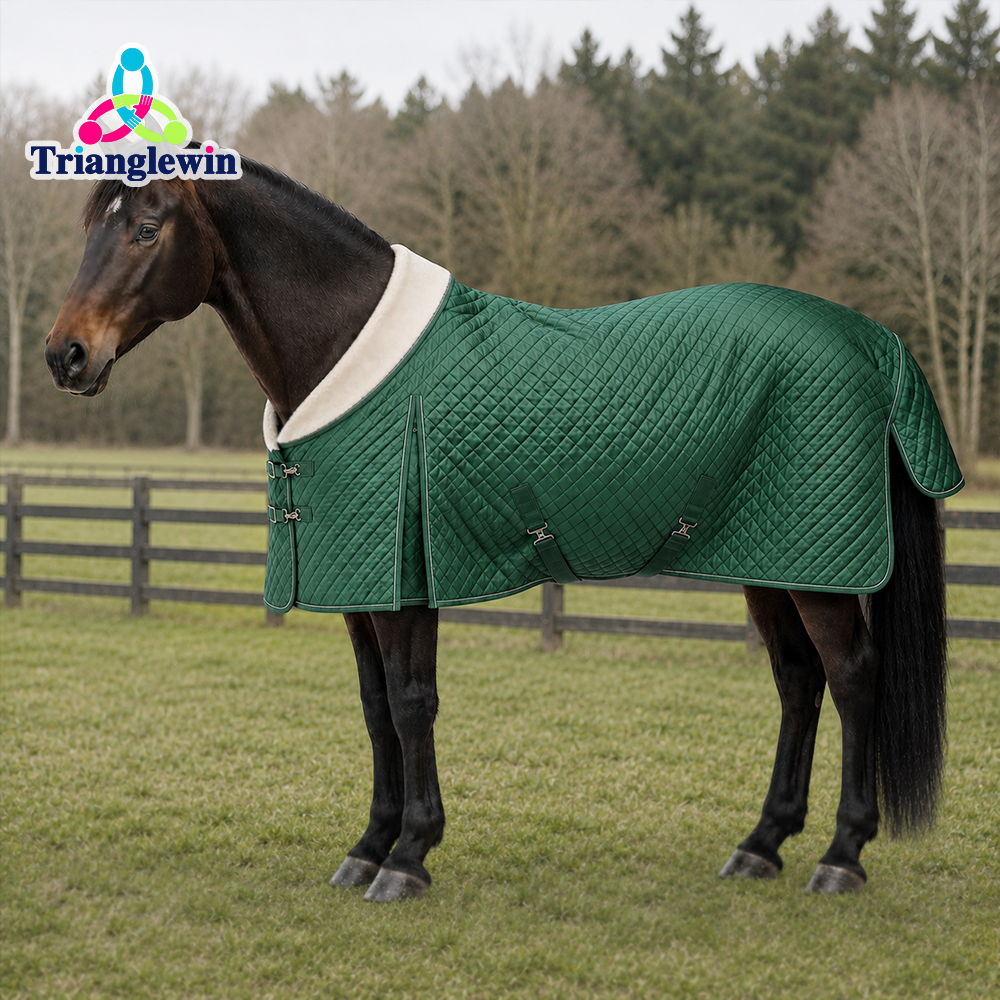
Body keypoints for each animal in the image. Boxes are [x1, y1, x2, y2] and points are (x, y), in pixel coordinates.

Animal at [44, 157, 954, 902]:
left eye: (147, 227)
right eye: (94, 227)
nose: (67, 355)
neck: (351, 351)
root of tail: (868, 340)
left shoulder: (407, 580)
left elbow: (412, 705)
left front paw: (408, 858)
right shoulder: (358, 584)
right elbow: (374, 709)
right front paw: (367, 848)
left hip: (816, 567)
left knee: (853, 677)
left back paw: (841, 857)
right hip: (771, 557)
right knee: (798, 682)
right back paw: (761, 845)